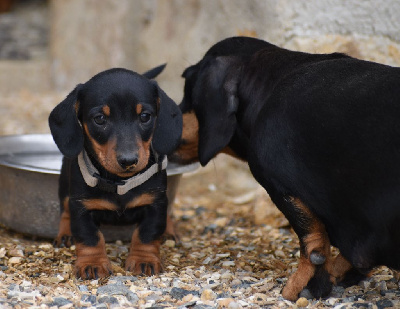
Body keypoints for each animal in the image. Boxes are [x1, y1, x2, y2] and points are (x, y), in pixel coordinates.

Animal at [47, 64, 182, 276]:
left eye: (145, 116)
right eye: (100, 118)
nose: (128, 160)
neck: (119, 182)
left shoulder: (155, 203)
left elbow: (146, 234)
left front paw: (144, 260)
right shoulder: (82, 207)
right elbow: (90, 237)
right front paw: (92, 264)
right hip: (65, 185)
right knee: (65, 209)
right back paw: (65, 233)